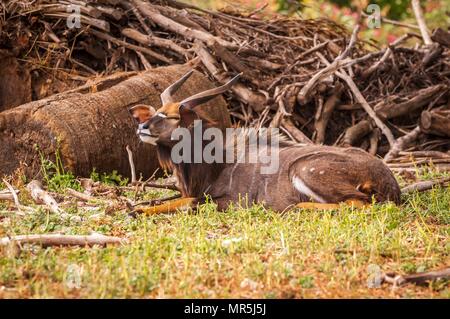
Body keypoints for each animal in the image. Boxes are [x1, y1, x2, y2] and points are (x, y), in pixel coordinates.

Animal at [130, 71, 400, 214]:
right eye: (156, 113)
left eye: (173, 117)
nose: (142, 127)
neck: (217, 163)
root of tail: (388, 181)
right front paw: (137, 208)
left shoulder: (231, 201)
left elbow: (189, 202)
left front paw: (137, 211)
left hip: (306, 170)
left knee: (358, 203)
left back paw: (296, 208)